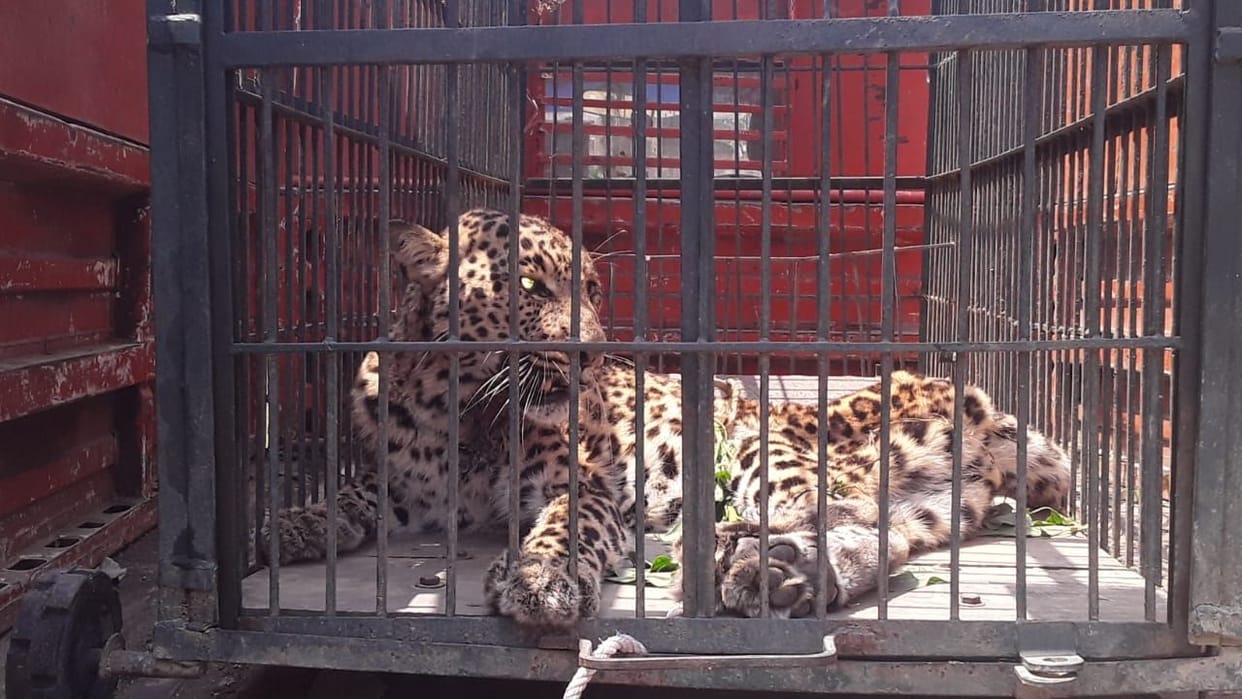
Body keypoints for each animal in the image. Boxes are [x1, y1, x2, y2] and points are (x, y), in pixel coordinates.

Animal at [260, 207, 1072, 628]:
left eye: (590, 287)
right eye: (531, 286)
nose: (593, 353)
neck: (465, 410)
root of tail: (973, 398)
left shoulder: (587, 480)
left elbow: (566, 524)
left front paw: (540, 575)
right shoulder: (404, 486)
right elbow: (351, 494)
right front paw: (289, 523)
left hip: (760, 441)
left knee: (832, 505)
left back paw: (745, 557)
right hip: (929, 501)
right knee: (885, 531)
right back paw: (775, 572)